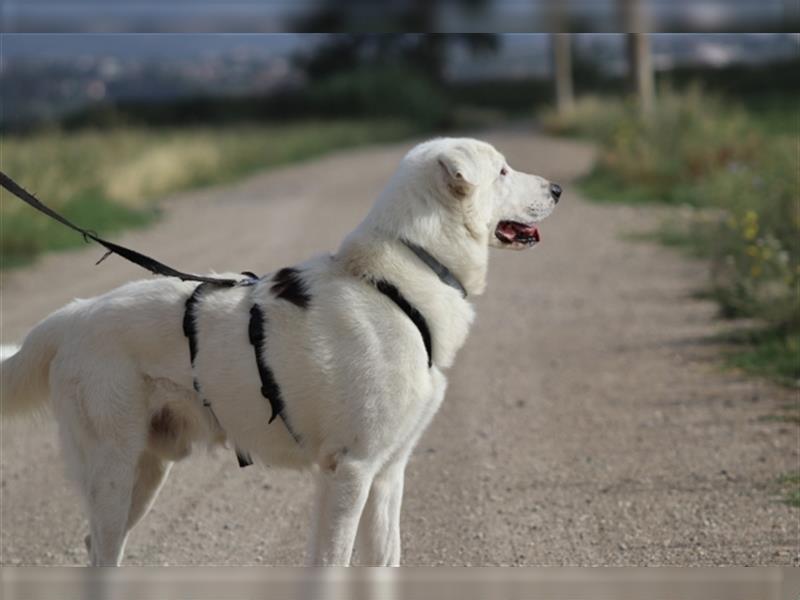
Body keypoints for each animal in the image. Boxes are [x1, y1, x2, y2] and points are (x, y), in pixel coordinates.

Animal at [1, 138, 564, 564]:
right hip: (115, 470)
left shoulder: (388, 473)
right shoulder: (350, 471)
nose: (559, 188)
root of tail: (73, 314)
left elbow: (385, 561)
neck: (401, 275)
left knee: (98, 545)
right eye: (502, 170)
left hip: (146, 471)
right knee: (100, 550)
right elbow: (331, 564)